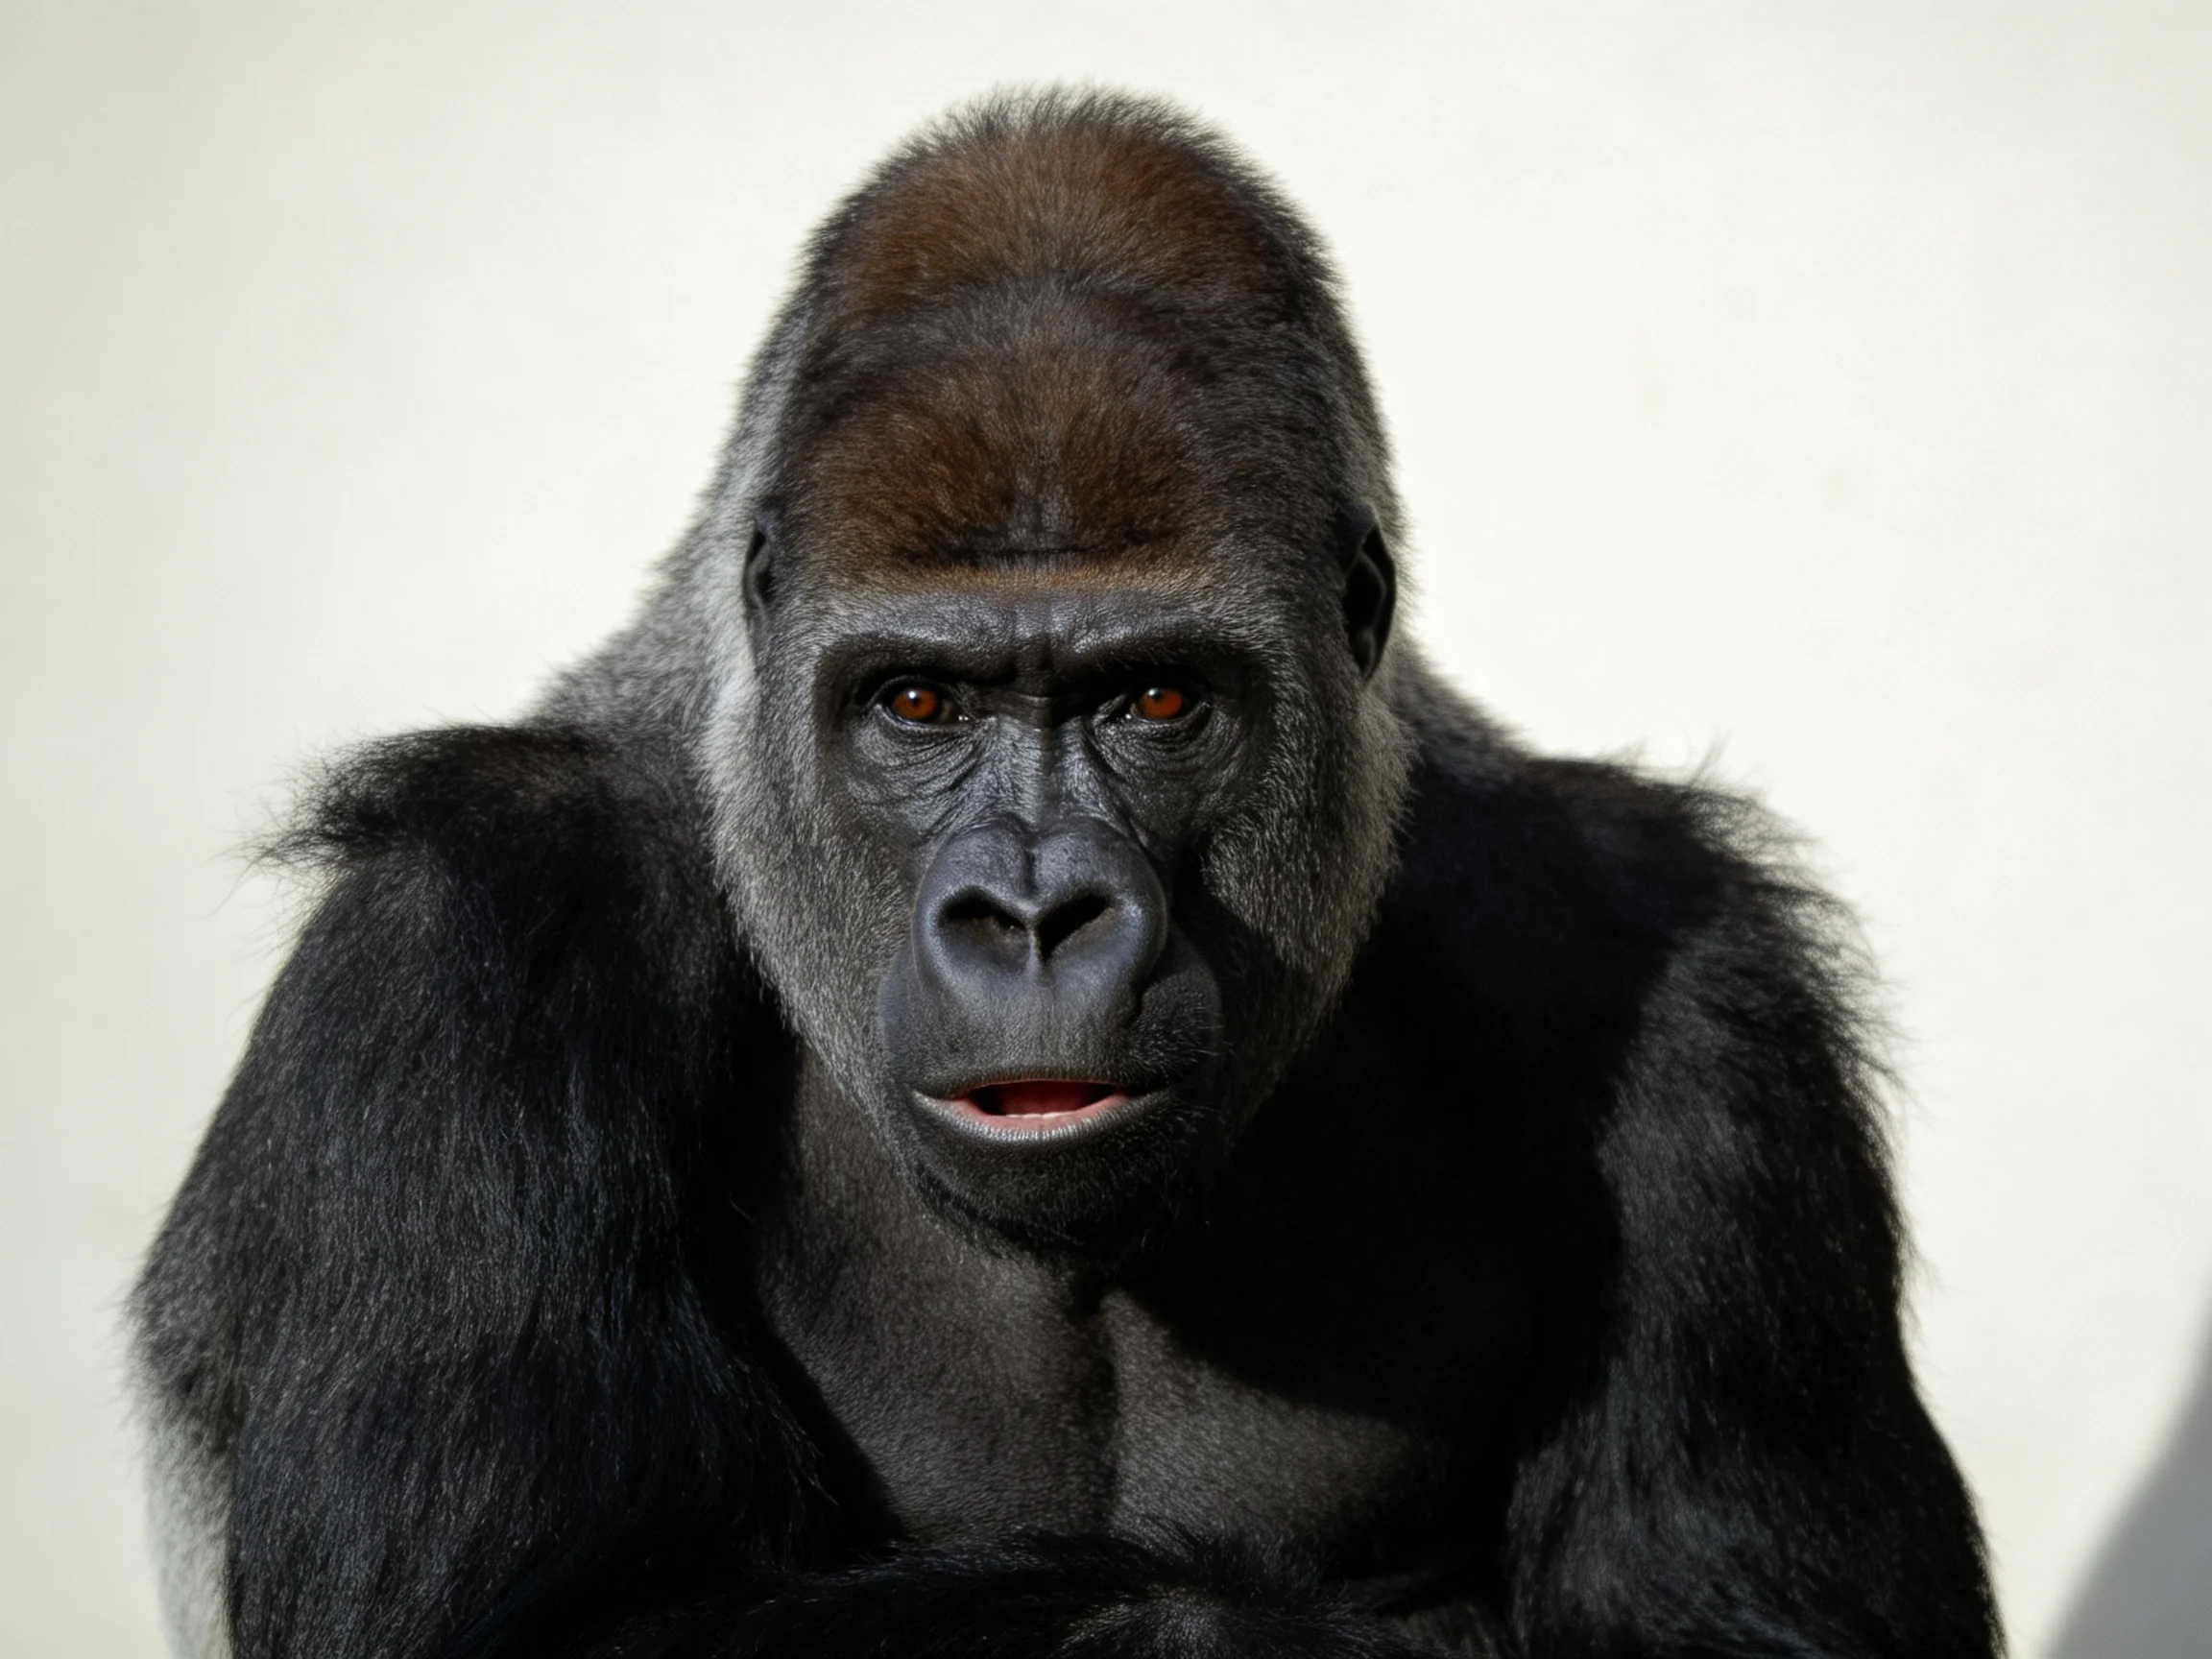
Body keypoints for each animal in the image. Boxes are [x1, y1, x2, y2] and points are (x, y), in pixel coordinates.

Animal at [133, 88, 2001, 1659]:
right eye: (917, 701)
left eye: (1155, 699)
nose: (1035, 914)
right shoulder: (461, 953)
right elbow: (534, 1630)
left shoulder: (1689, 1002)